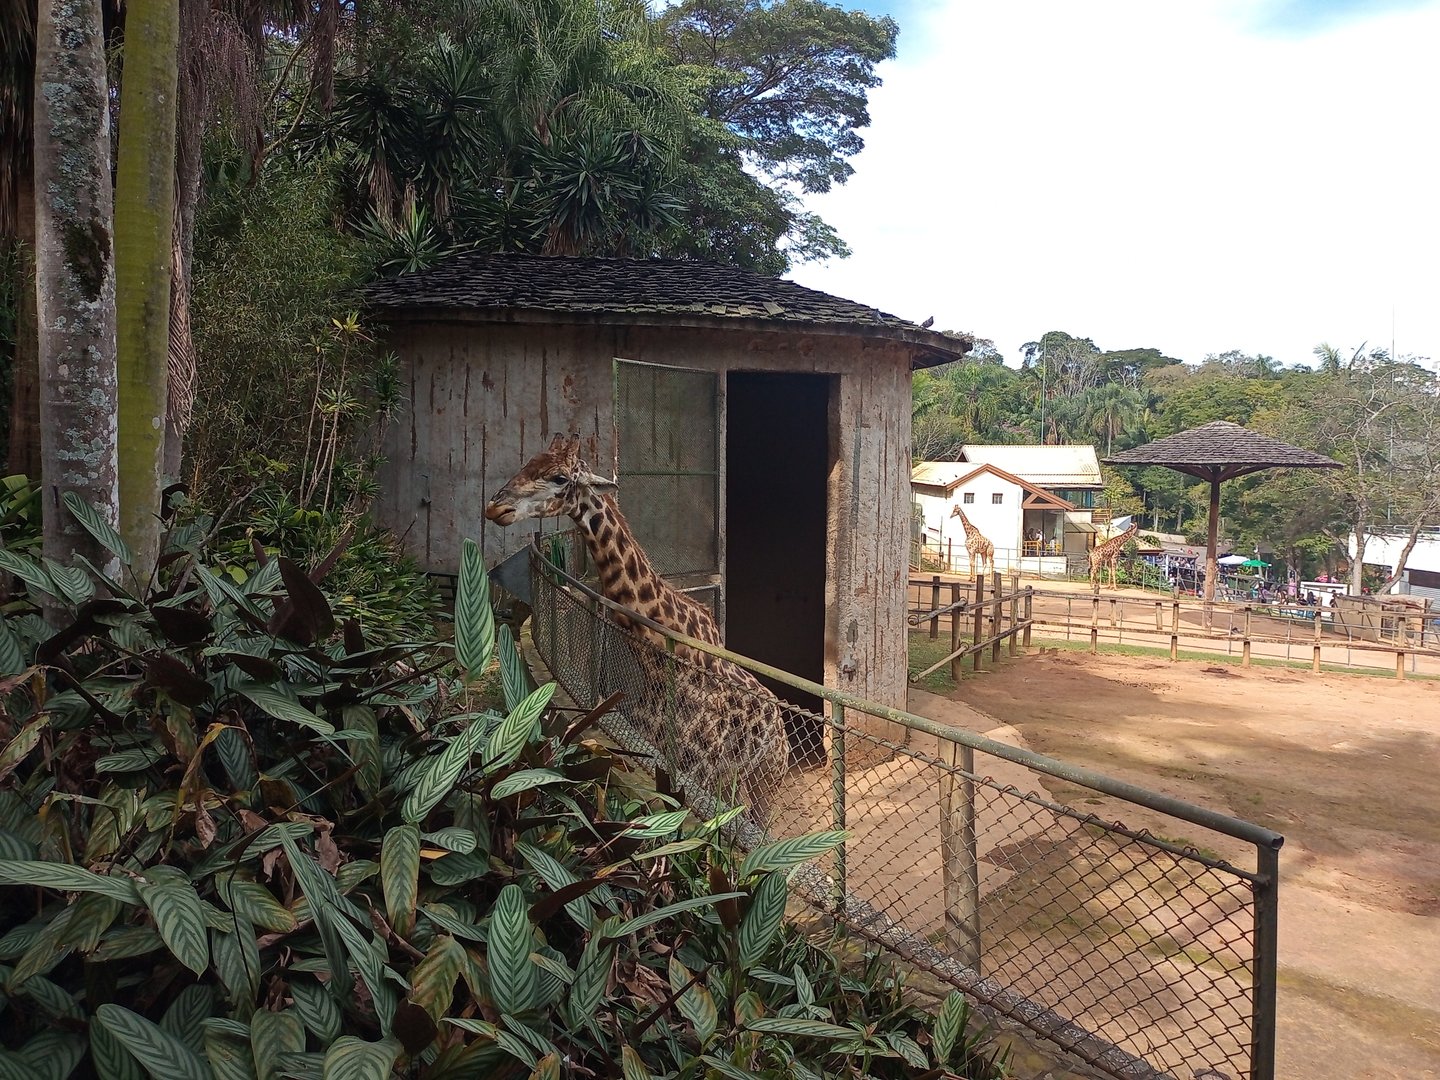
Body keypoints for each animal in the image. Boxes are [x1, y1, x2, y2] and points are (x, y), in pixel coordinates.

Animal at [484, 434, 788, 819]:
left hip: (766, 779)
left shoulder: (695, 770)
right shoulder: (653, 752)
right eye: (527, 463)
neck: (659, 664)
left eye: (559, 478)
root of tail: (779, 722)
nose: (495, 508)